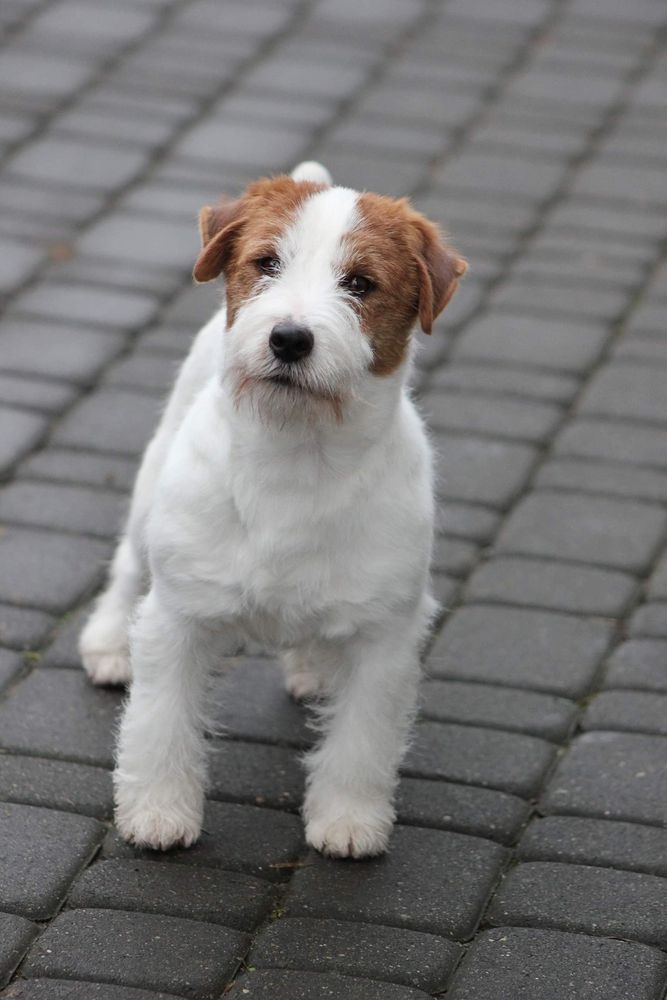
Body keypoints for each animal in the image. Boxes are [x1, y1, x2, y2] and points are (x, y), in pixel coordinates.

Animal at [78, 162, 468, 860]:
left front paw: (348, 821)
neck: (296, 453)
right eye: (266, 263)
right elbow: (160, 724)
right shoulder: (177, 619)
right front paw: (158, 813)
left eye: (360, 283)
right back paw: (108, 644)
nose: (289, 338)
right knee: (126, 567)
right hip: (150, 496)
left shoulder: (385, 640)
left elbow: (361, 743)